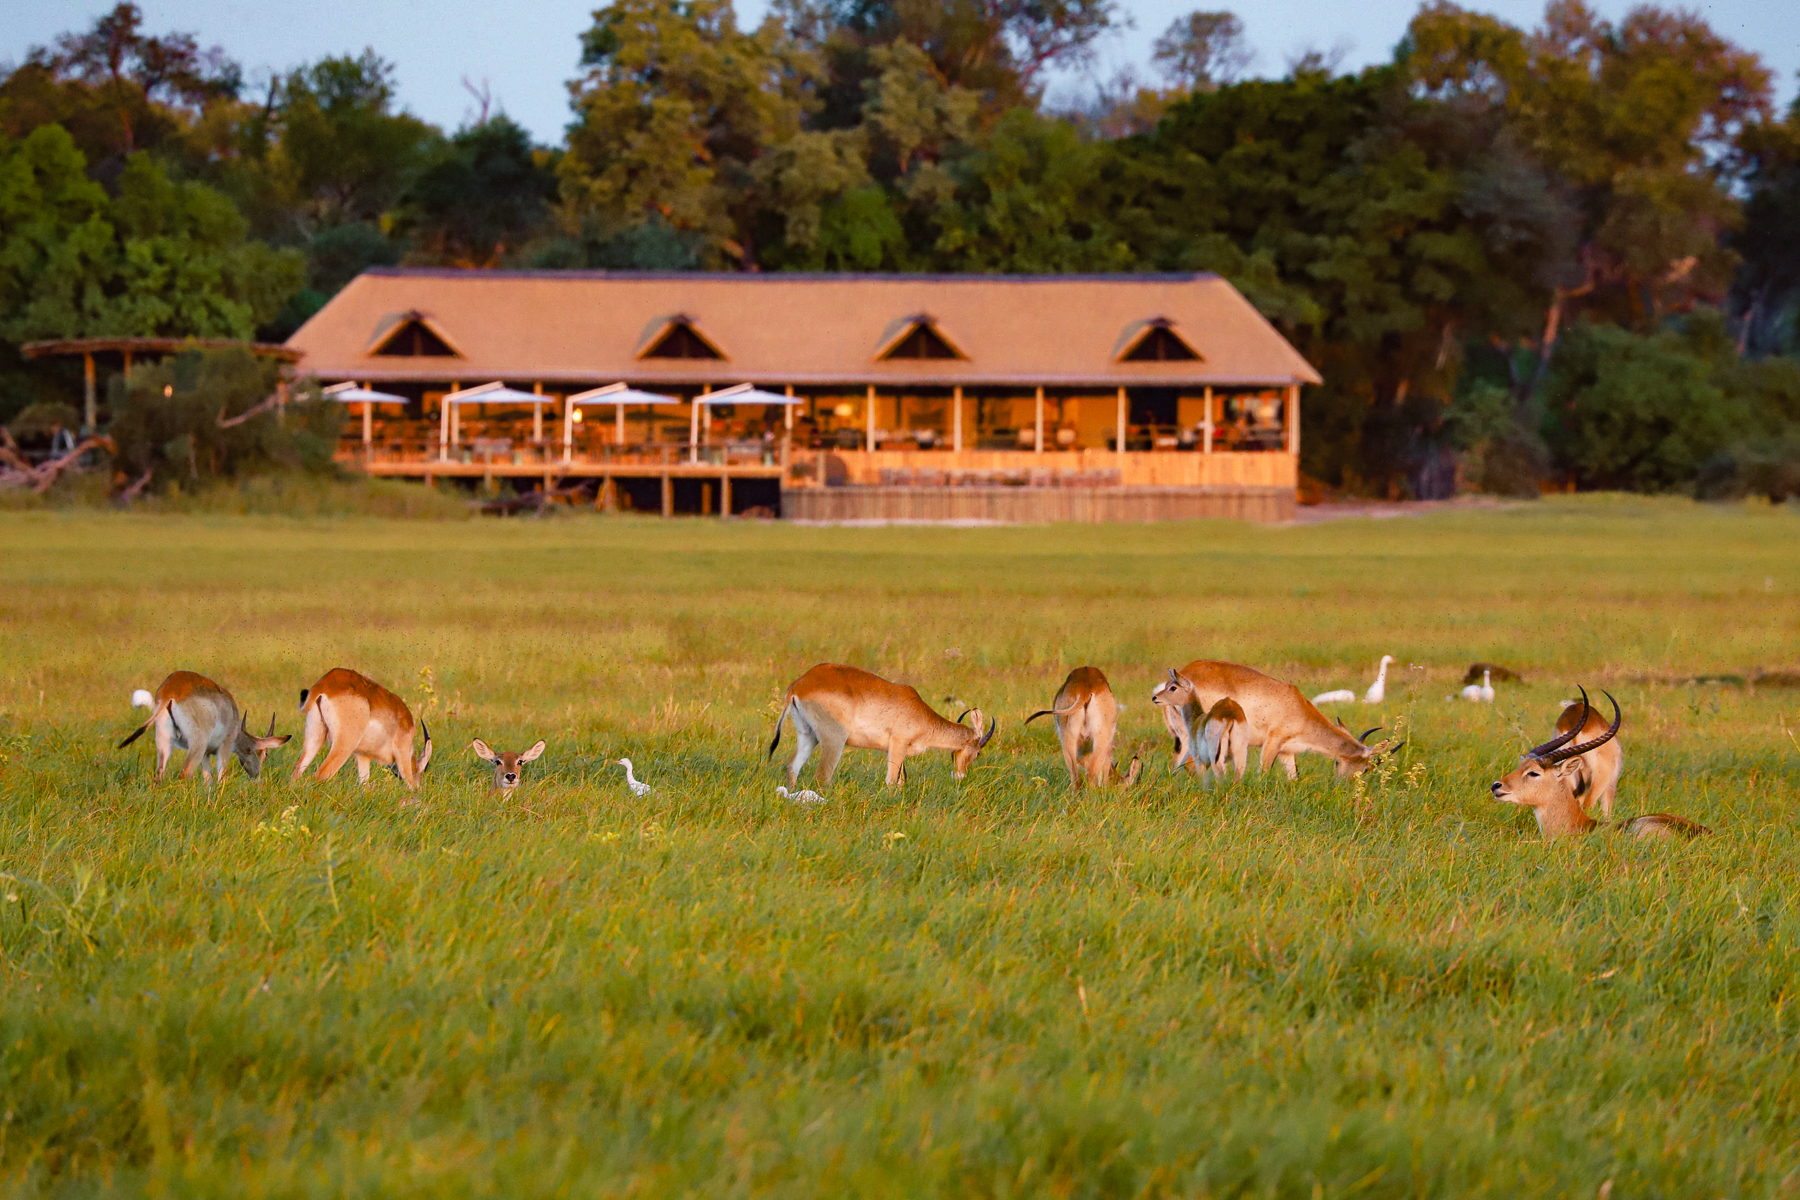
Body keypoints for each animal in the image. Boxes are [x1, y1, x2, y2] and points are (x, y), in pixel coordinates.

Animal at [118, 671, 289, 783]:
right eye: (265, 753)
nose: (256, 774)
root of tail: (171, 691)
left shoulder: (206, 754)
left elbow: (208, 781)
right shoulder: (225, 746)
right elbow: (221, 777)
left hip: (164, 739)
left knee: (160, 774)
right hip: (197, 744)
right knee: (185, 773)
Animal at [292, 668, 433, 789]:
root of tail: (326, 683)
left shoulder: (363, 756)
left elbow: (364, 785)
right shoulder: (403, 754)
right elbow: (410, 784)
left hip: (314, 737)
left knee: (297, 771)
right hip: (344, 745)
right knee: (321, 774)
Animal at [767, 663, 996, 787]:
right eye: (978, 752)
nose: (960, 776)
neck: (920, 713)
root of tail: (800, 684)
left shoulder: (894, 751)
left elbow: (900, 782)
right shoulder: (898, 745)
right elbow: (891, 781)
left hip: (808, 735)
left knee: (793, 766)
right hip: (834, 740)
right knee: (822, 776)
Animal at [1150, 662, 1390, 778]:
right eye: (1366, 768)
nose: (1343, 786)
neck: (1300, 709)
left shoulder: (1287, 752)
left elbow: (1293, 777)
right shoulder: (1272, 742)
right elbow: (1263, 773)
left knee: (1176, 765)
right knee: (1192, 765)